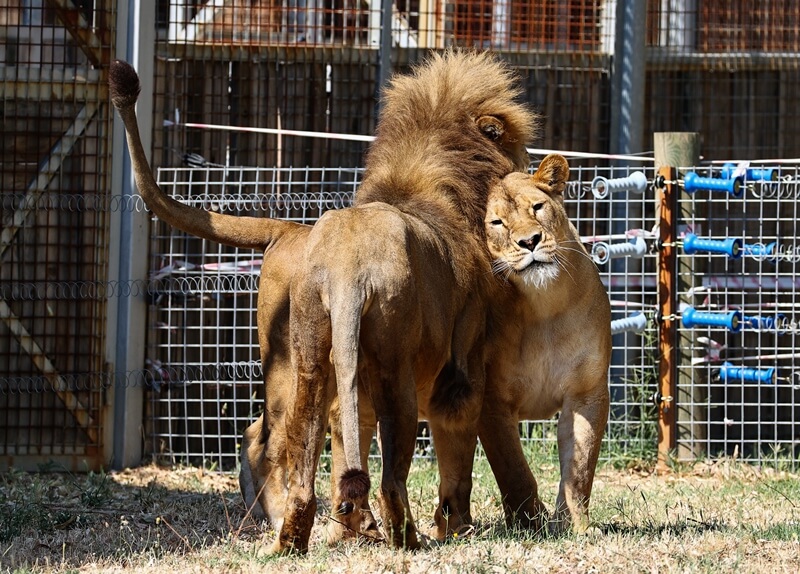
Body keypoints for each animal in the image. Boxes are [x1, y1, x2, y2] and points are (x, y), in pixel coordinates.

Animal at [109, 53, 536, 552]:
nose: (530, 169)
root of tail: (339, 261)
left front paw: (348, 530)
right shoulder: (461, 376)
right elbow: (457, 466)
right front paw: (456, 529)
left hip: (303, 363)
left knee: (281, 450)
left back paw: (289, 535)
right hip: (393, 372)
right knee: (390, 479)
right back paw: (405, 539)